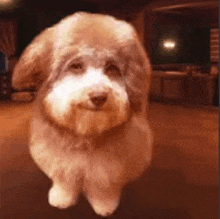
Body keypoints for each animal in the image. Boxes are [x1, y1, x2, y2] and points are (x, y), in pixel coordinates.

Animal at [12, 12, 153, 217]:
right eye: (76, 66)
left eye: (112, 68)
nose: (98, 96)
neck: (86, 131)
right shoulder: (60, 156)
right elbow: (64, 178)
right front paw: (62, 198)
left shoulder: (112, 164)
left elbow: (103, 185)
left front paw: (104, 204)